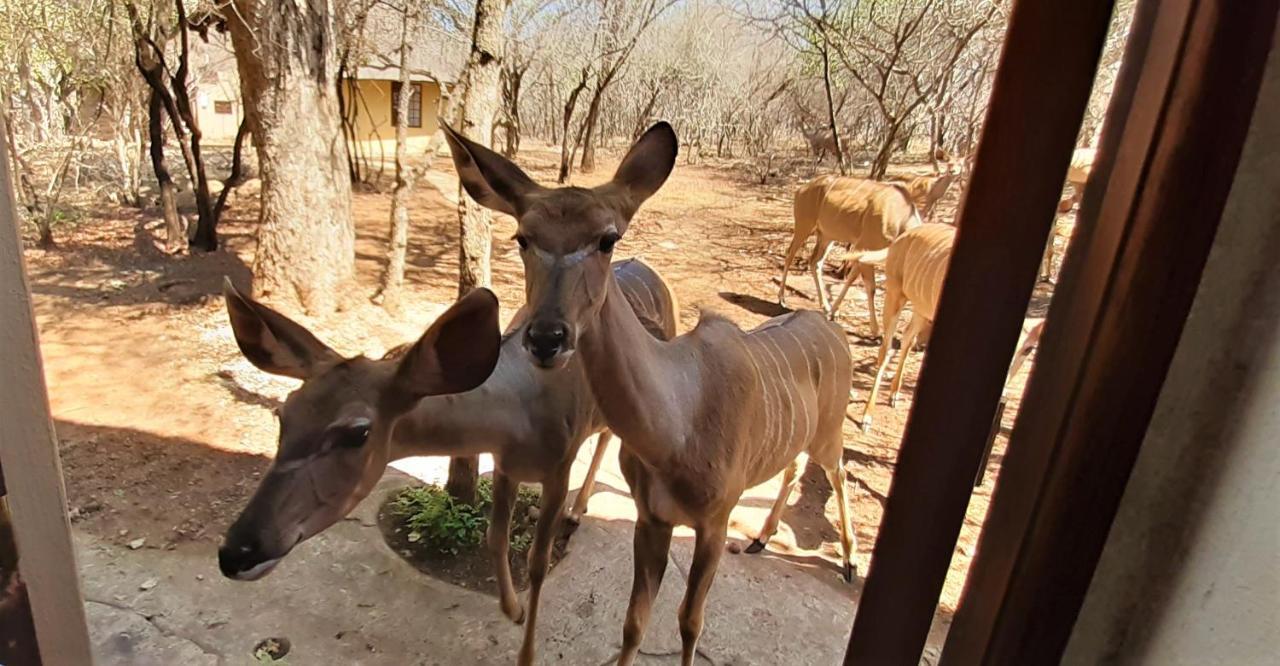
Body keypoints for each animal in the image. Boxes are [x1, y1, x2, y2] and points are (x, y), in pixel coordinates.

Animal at [220, 263, 680, 666]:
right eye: (284, 413)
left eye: (357, 432)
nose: (236, 552)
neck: (521, 410)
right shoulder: (506, 464)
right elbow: (495, 536)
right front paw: (512, 611)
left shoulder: (557, 468)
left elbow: (537, 563)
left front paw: (527, 653)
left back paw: (579, 510)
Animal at [442, 121, 860, 666]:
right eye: (521, 237)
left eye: (607, 239)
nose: (547, 337)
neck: (677, 427)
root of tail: (832, 328)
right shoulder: (652, 520)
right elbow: (634, 622)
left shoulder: (712, 523)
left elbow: (689, 623)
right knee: (793, 467)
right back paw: (761, 540)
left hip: (829, 435)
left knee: (838, 472)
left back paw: (849, 563)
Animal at [768, 174, 921, 335]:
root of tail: (801, 189)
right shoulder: (865, 246)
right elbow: (870, 287)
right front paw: (874, 329)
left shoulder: (863, 253)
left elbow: (851, 279)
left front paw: (833, 311)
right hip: (804, 225)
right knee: (790, 253)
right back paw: (782, 298)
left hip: (827, 236)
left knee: (815, 261)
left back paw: (825, 305)